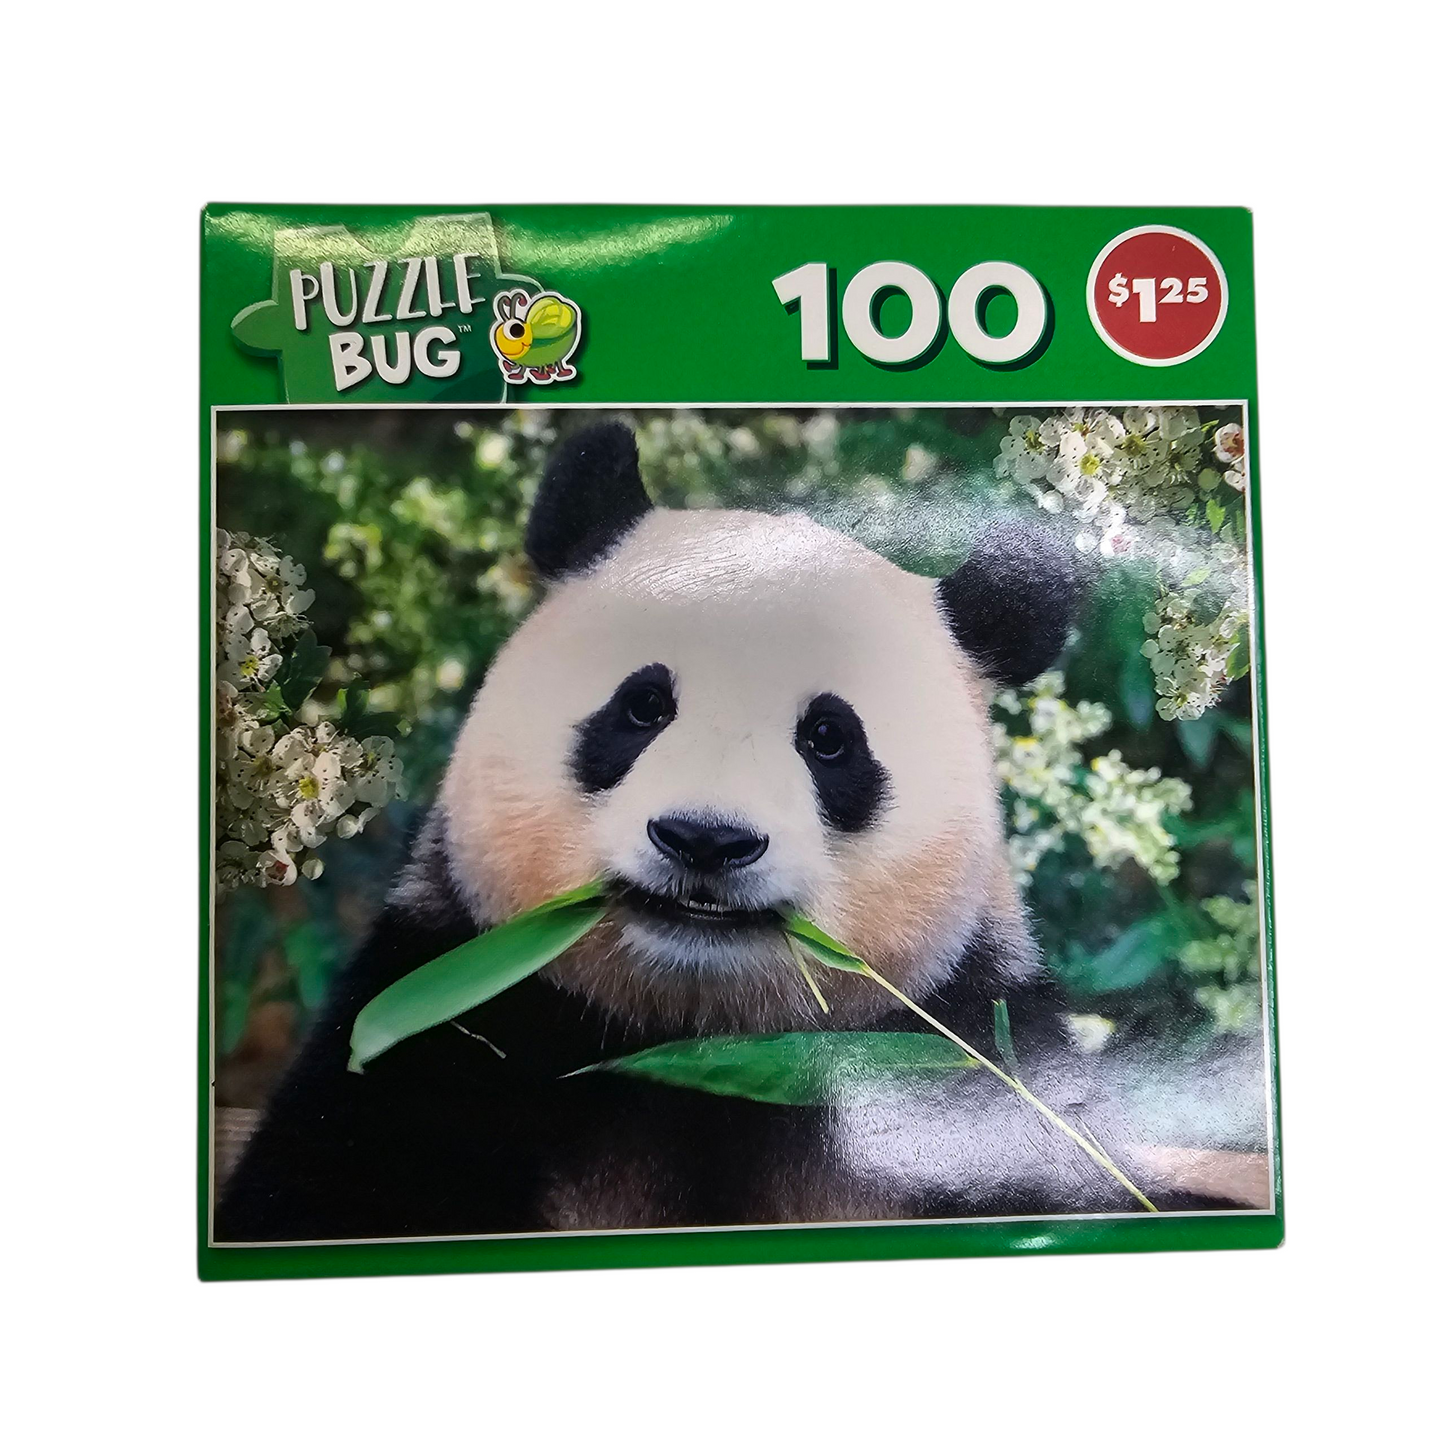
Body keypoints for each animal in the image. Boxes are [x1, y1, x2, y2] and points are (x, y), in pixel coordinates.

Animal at [217, 420, 1263, 1242]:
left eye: (829, 738)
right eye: (641, 707)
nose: (705, 840)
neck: (695, 1045)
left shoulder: (969, 1056)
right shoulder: (444, 1025)